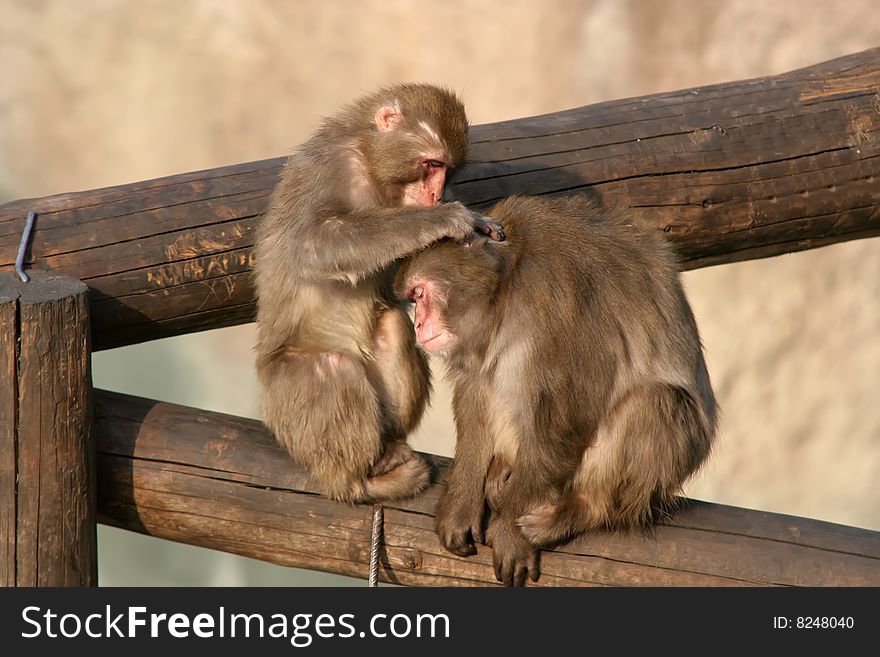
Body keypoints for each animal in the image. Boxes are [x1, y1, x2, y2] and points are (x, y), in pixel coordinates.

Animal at [253, 83, 502, 502]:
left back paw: (389, 447)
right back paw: (360, 480)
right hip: (286, 403)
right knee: (330, 369)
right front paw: (445, 218)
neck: (370, 164)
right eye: (431, 164)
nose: (435, 195)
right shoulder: (332, 168)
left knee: (393, 327)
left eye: (447, 170)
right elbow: (312, 245)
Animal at [396, 193, 720, 584]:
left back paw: (583, 508)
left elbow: (568, 416)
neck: (508, 283)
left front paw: (511, 532)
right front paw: (461, 503)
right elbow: (476, 389)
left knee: (656, 402)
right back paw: (500, 470)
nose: (418, 325)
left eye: (420, 294)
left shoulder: (554, 304)